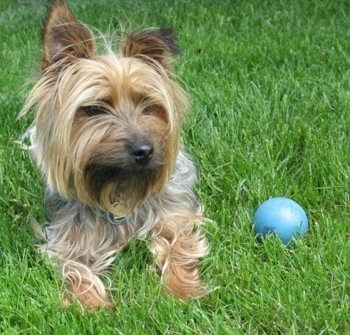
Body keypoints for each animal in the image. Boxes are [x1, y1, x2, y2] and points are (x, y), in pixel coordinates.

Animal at [19, 0, 208, 312]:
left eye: (148, 105)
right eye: (95, 108)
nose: (145, 150)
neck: (118, 185)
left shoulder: (175, 216)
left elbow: (179, 246)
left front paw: (181, 291)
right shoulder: (67, 238)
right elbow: (76, 269)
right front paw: (91, 304)